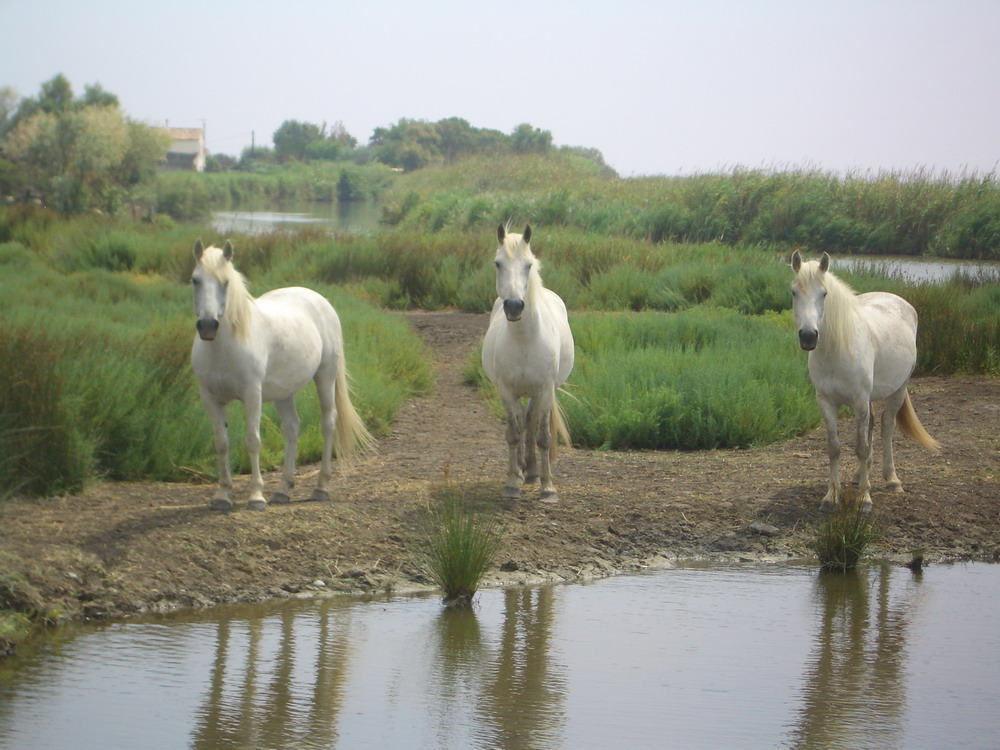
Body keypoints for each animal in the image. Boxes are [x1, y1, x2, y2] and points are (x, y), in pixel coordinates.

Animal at [190, 239, 373, 510]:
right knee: (292, 428)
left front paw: (256, 497)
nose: (208, 326)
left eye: (226, 282)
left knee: (328, 422)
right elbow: (221, 444)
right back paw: (283, 490)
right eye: (195, 280)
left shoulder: (252, 395)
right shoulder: (211, 399)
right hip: (284, 392)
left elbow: (252, 440)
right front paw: (222, 496)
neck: (224, 347)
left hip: (325, 376)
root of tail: (319, 299)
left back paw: (320, 487)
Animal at [482, 224, 574, 502]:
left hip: (540, 392)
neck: (524, 340)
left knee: (531, 421)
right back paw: (523, 470)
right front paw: (512, 482)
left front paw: (548, 487)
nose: (513, 306)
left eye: (529, 265)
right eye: (498, 263)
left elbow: (543, 436)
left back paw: (533, 472)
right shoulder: (506, 391)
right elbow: (513, 433)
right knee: (523, 422)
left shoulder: (544, 389)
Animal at [790, 250, 940, 512]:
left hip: (898, 389)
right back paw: (861, 477)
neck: (837, 350)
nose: (808, 336)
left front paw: (864, 500)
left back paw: (892, 480)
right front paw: (831, 496)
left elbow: (861, 447)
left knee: (886, 427)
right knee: (871, 428)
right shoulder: (826, 402)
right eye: (794, 292)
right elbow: (834, 447)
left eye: (824, 293)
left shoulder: (859, 401)